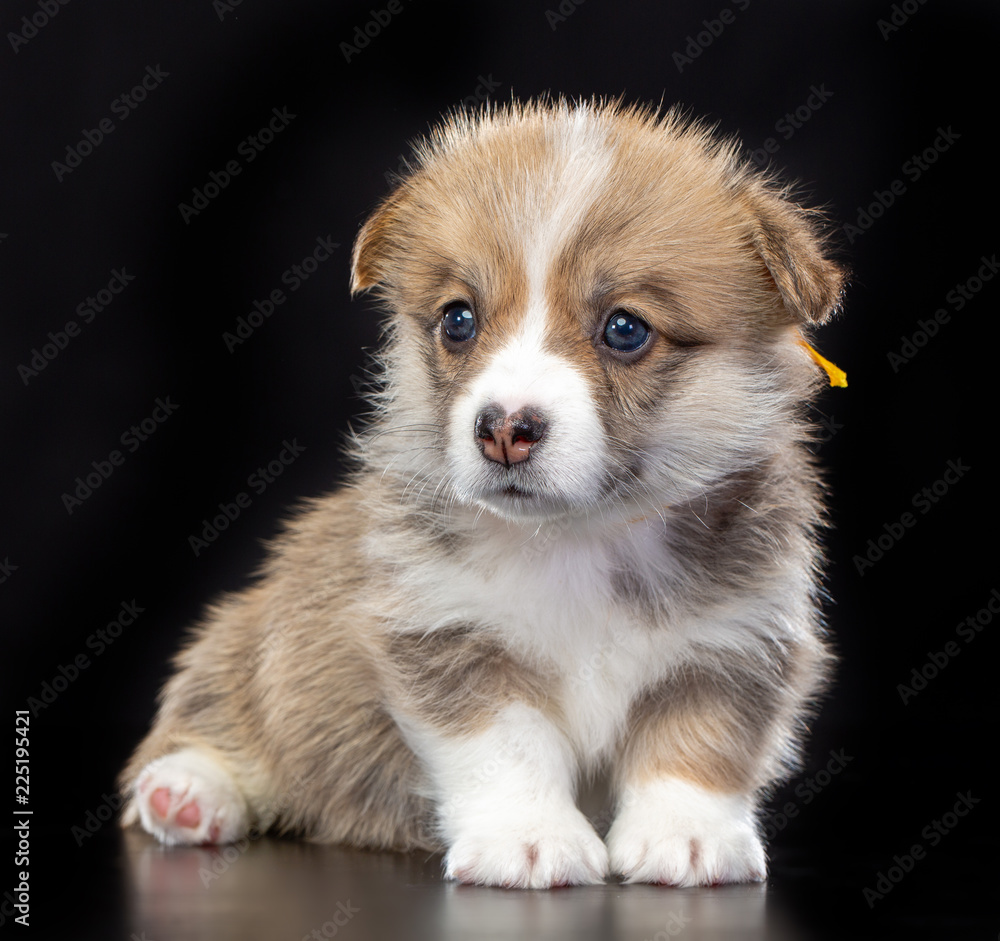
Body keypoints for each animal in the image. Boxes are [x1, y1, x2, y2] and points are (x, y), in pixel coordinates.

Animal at [121, 101, 848, 888]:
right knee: (218, 715)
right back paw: (188, 794)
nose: (503, 429)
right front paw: (528, 840)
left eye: (625, 329)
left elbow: (699, 741)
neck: (577, 537)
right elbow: (507, 747)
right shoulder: (446, 632)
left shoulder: (736, 638)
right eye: (458, 320)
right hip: (250, 643)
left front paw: (687, 838)